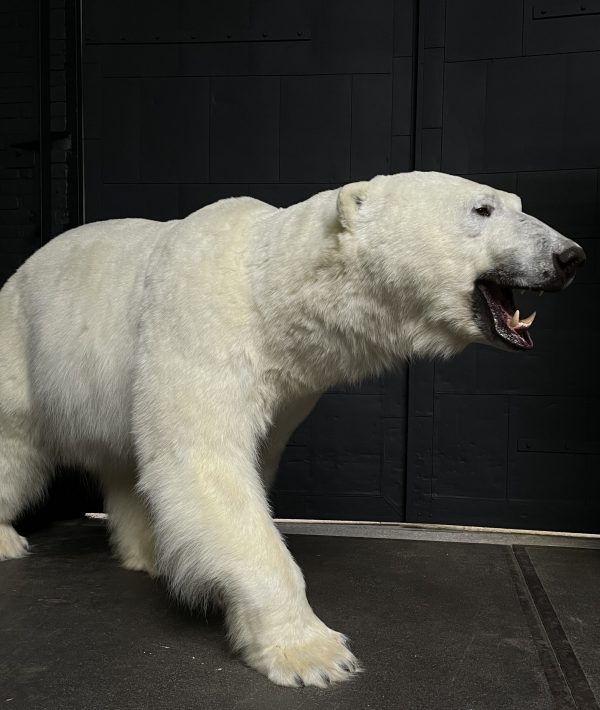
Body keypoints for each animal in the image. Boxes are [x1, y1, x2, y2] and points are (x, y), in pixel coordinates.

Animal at [0, 172, 584, 688]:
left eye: (518, 202)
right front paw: (314, 654)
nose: (570, 256)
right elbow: (206, 464)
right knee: (14, 451)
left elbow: (244, 465)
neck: (268, 287)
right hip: (21, 350)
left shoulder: (289, 389)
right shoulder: (199, 327)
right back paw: (11, 538)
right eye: (482, 208)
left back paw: (147, 552)